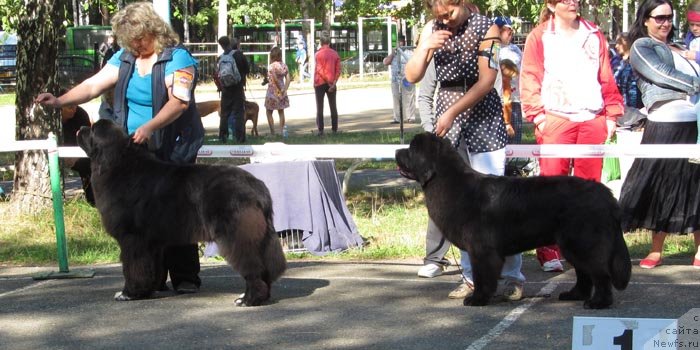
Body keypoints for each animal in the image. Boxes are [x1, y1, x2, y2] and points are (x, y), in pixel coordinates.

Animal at [80, 119, 288, 304]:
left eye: (93, 129)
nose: (81, 127)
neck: (116, 163)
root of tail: (256, 185)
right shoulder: (150, 242)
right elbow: (148, 268)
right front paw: (145, 292)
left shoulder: (132, 238)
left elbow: (133, 268)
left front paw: (128, 294)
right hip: (259, 236)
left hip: (239, 235)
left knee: (253, 267)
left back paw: (248, 299)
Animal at [396, 133, 632, 308]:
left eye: (412, 149)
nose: (397, 151)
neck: (448, 181)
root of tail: (606, 194)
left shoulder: (481, 250)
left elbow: (483, 276)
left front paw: (477, 299)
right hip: (571, 245)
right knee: (584, 273)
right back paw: (574, 295)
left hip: (582, 242)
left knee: (599, 274)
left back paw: (598, 303)